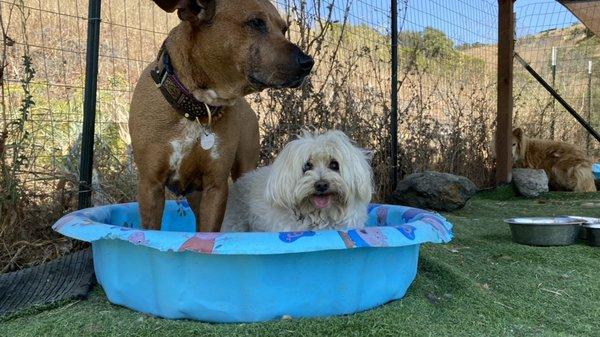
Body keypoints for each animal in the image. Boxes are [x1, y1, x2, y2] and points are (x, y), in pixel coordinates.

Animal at [130, 0, 314, 230]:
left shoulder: (215, 187)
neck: (196, 109)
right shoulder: (150, 186)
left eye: (284, 29)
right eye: (256, 22)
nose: (308, 62)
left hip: (243, 170)